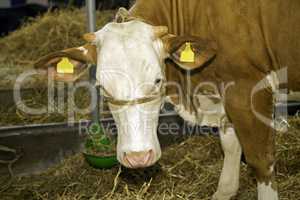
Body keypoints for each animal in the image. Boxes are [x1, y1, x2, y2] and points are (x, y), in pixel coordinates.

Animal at [33, 0, 300, 199]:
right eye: (101, 87)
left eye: (157, 80)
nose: (137, 157)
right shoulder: (226, 96)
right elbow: (230, 145)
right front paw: (224, 191)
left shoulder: (248, 90)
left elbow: (261, 160)